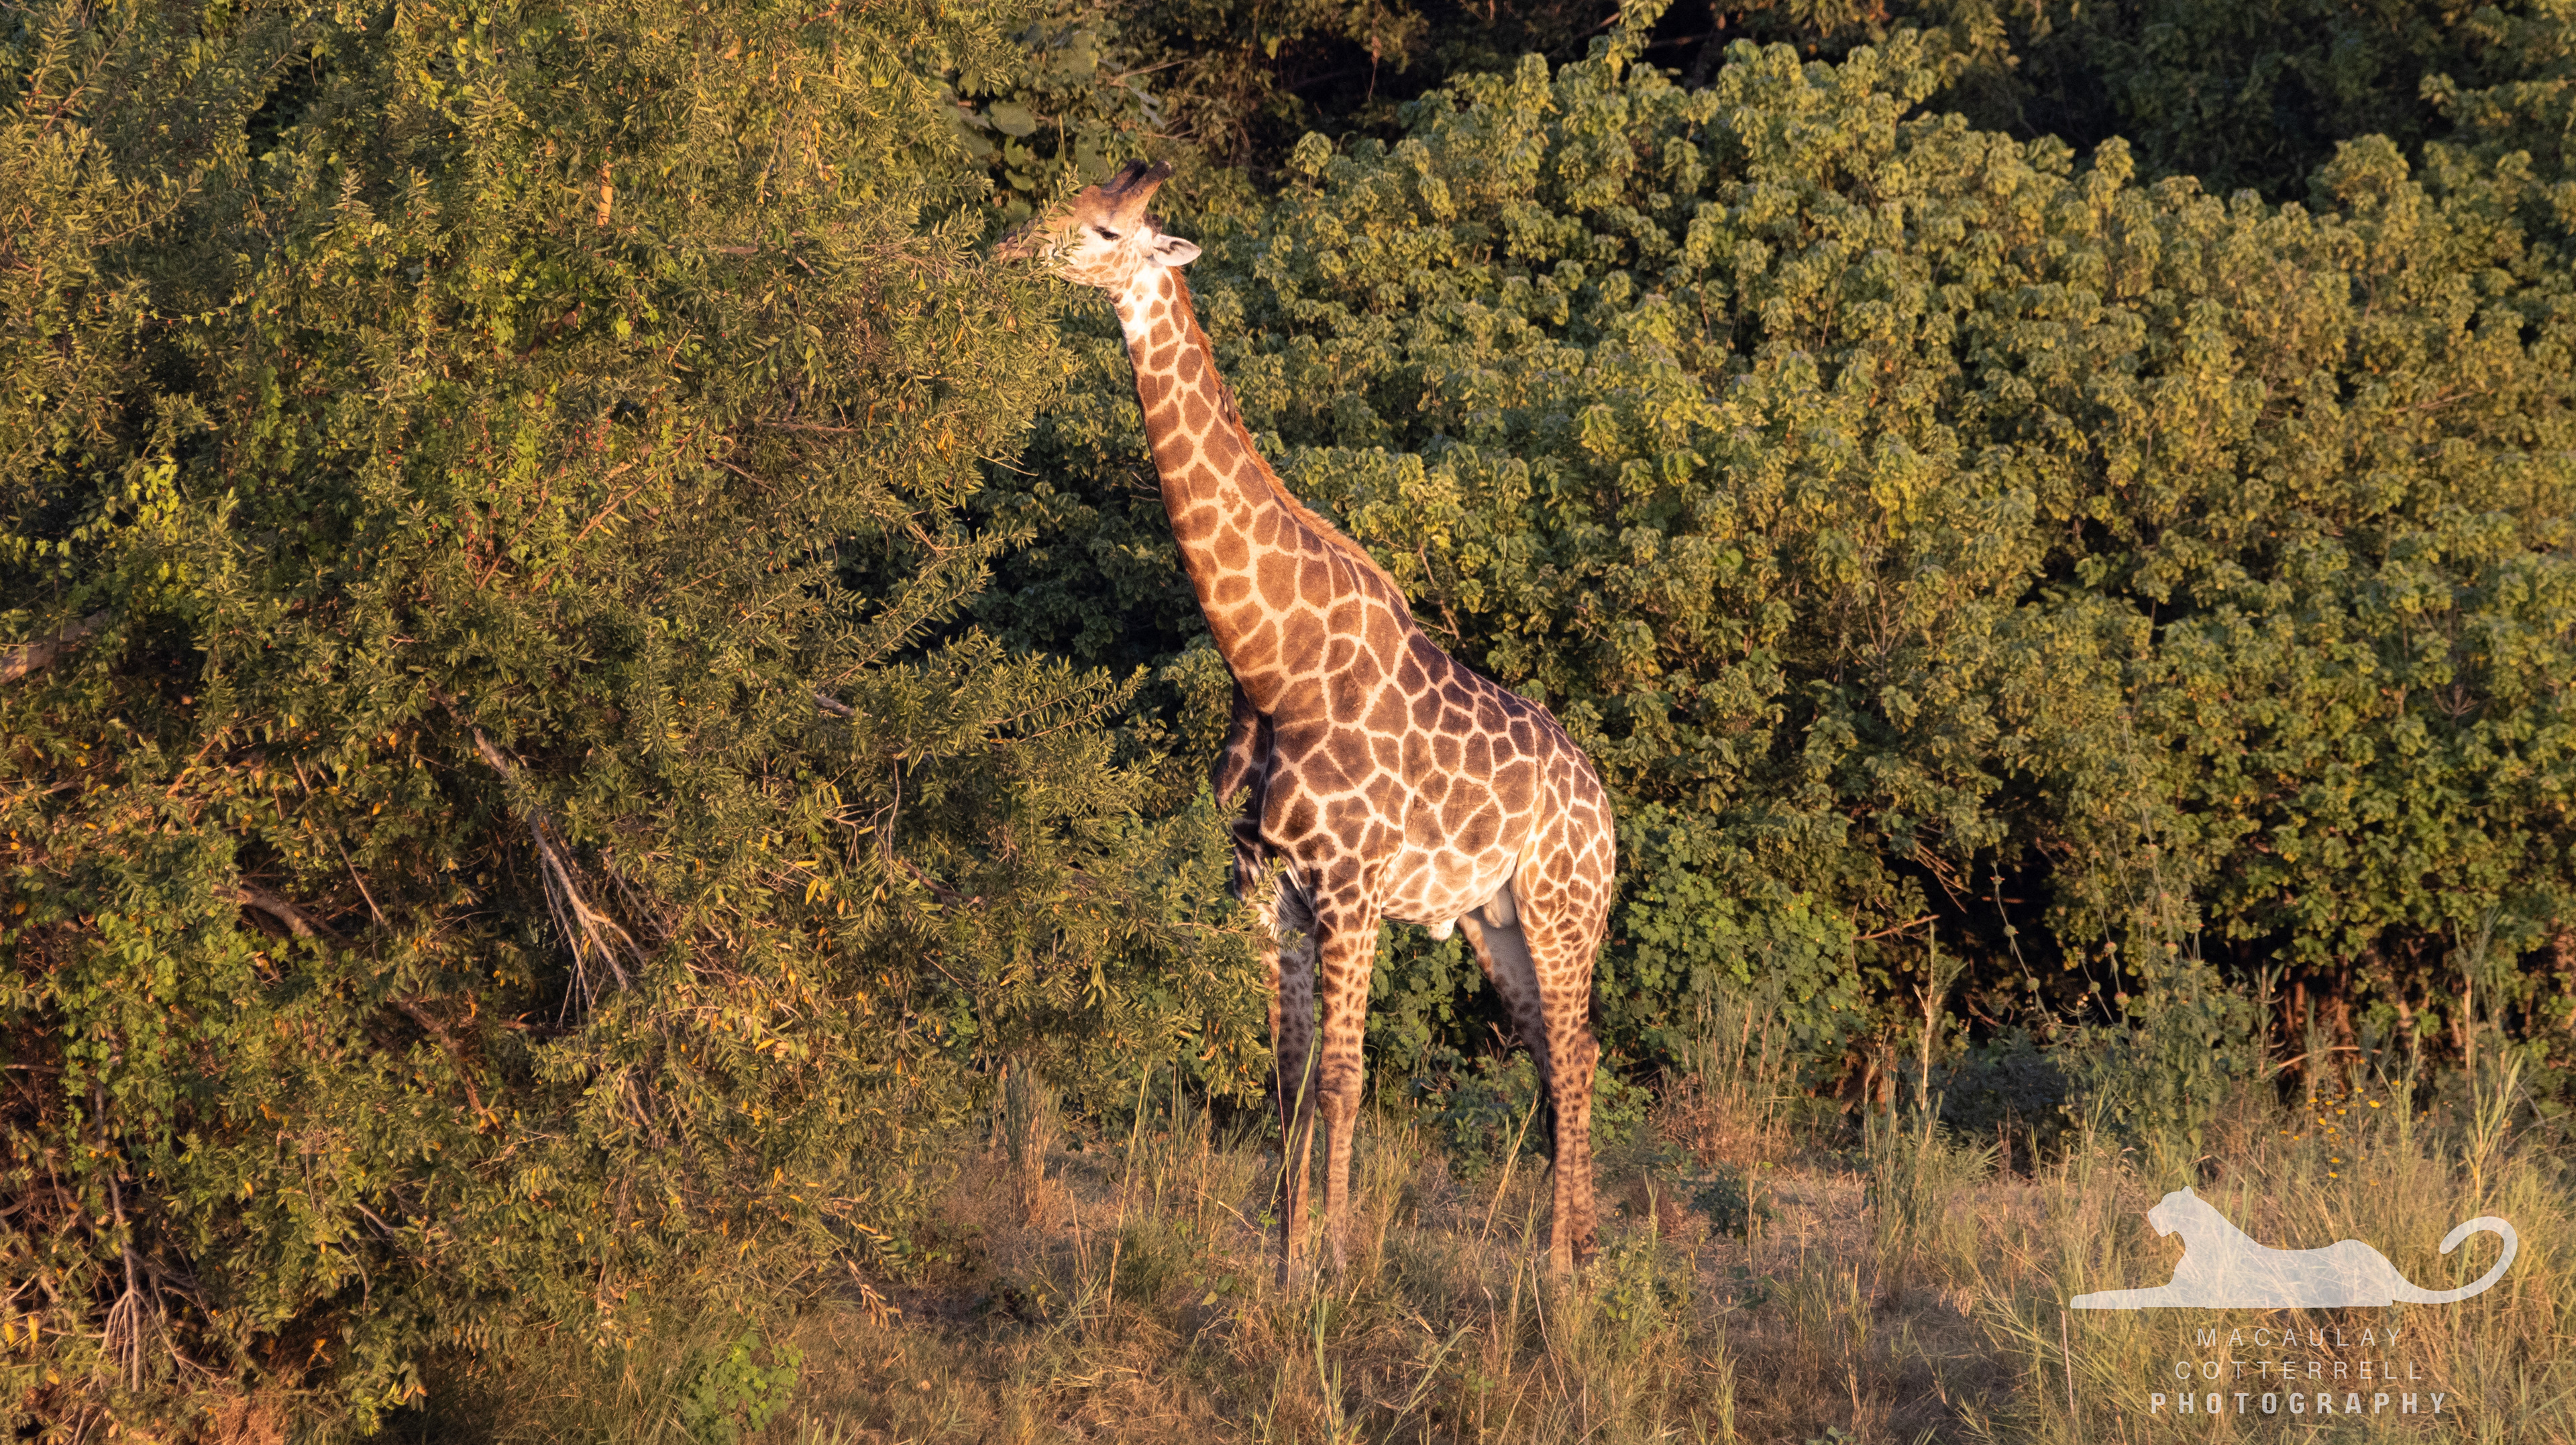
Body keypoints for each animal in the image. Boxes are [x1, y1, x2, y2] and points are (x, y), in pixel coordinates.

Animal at [1000, 160, 1619, 1277]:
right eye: (1061, 204)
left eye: (1106, 230)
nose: (1010, 252)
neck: (1269, 665)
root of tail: (1604, 807)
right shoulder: (1261, 885)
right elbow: (1286, 1079)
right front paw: (1285, 1265)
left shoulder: (1350, 888)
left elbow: (1342, 1077)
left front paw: (1336, 1265)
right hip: (1494, 919)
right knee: (1561, 1052)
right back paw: (1578, 1250)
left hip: (1564, 906)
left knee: (1576, 1046)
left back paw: (1560, 1264)